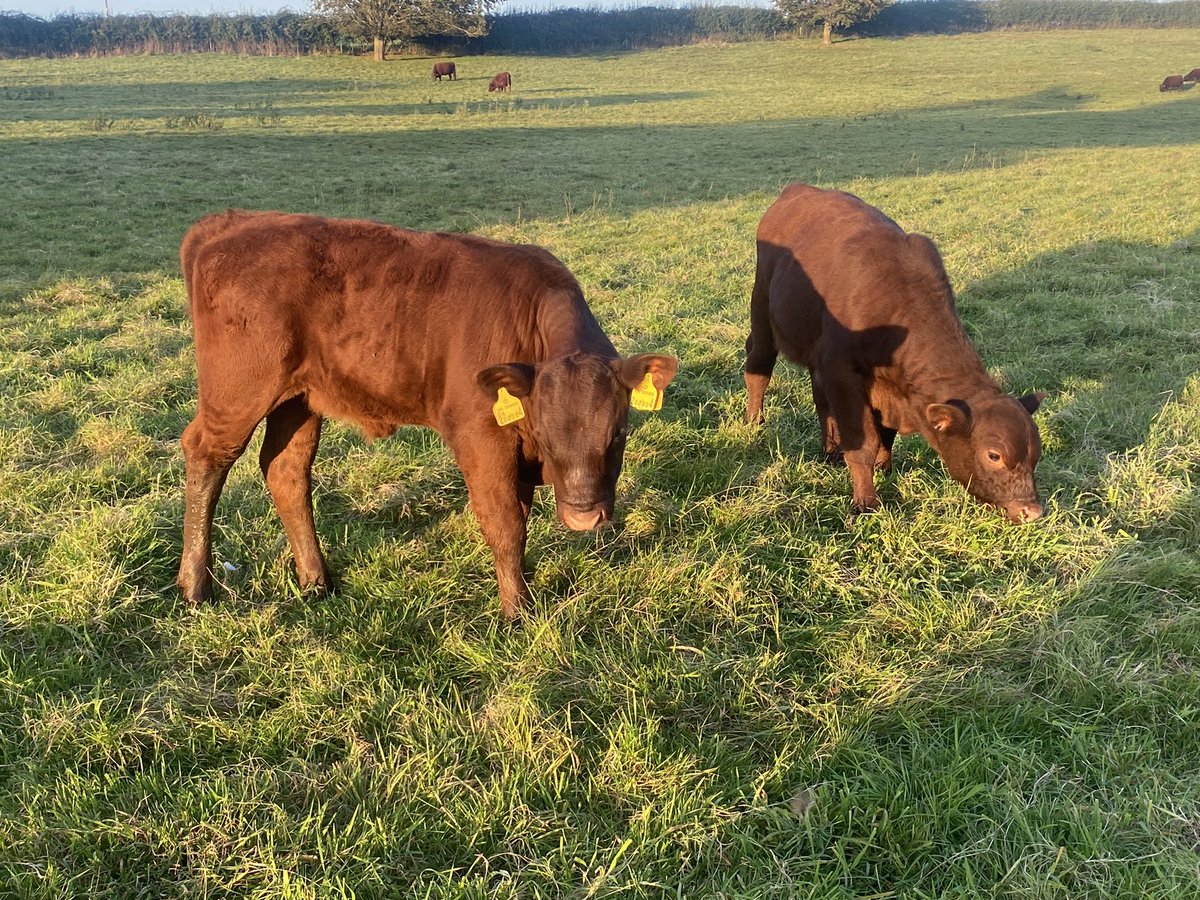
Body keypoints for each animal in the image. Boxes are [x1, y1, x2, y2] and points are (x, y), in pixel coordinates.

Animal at [177, 210, 678, 618]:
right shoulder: (480, 436)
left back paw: (317, 581)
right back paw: (195, 587)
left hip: (297, 400)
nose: (583, 518)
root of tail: (231, 222)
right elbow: (506, 525)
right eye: (545, 433)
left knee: (286, 471)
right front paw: (517, 612)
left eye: (618, 433)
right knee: (205, 456)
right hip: (238, 392)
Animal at [745, 184, 1046, 524]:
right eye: (994, 455)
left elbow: (885, 434)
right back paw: (754, 421)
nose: (1032, 510)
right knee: (759, 367)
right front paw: (865, 501)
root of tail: (795, 190)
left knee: (821, 402)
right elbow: (863, 441)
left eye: (1036, 453)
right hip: (763, 312)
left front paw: (883, 467)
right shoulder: (842, 372)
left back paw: (830, 452)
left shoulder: (883, 386)